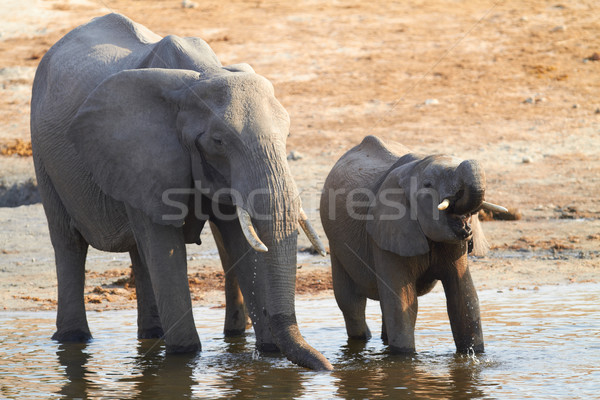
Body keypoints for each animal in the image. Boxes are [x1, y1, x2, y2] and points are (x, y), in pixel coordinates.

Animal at [32, 13, 330, 372]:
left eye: (287, 135)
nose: (330, 367)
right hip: (43, 155)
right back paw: (74, 339)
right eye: (218, 141)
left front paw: (269, 351)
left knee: (139, 251)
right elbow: (167, 247)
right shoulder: (140, 153)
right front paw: (184, 356)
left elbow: (238, 241)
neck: (202, 76)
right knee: (69, 242)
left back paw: (151, 335)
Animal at [322, 136, 504, 354]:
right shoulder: (387, 232)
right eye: (428, 184)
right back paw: (362, 340)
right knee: (351, 302)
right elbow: (404, 303)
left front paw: (474, 354)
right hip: (335, 243)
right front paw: (404, 357)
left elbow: (463, 297)